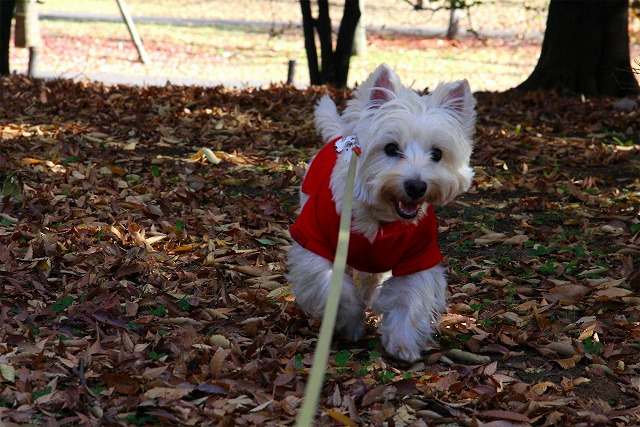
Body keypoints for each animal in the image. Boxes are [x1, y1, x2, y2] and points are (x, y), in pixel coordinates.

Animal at [284, 65, 476, 362]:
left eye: (437, 154)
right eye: (391, 148)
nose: (416, 186)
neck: (380, 217)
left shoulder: (418, 256)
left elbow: (409, 296)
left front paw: (402, 342)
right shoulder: (314, 243)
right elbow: (335, 287)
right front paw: (351, 323)